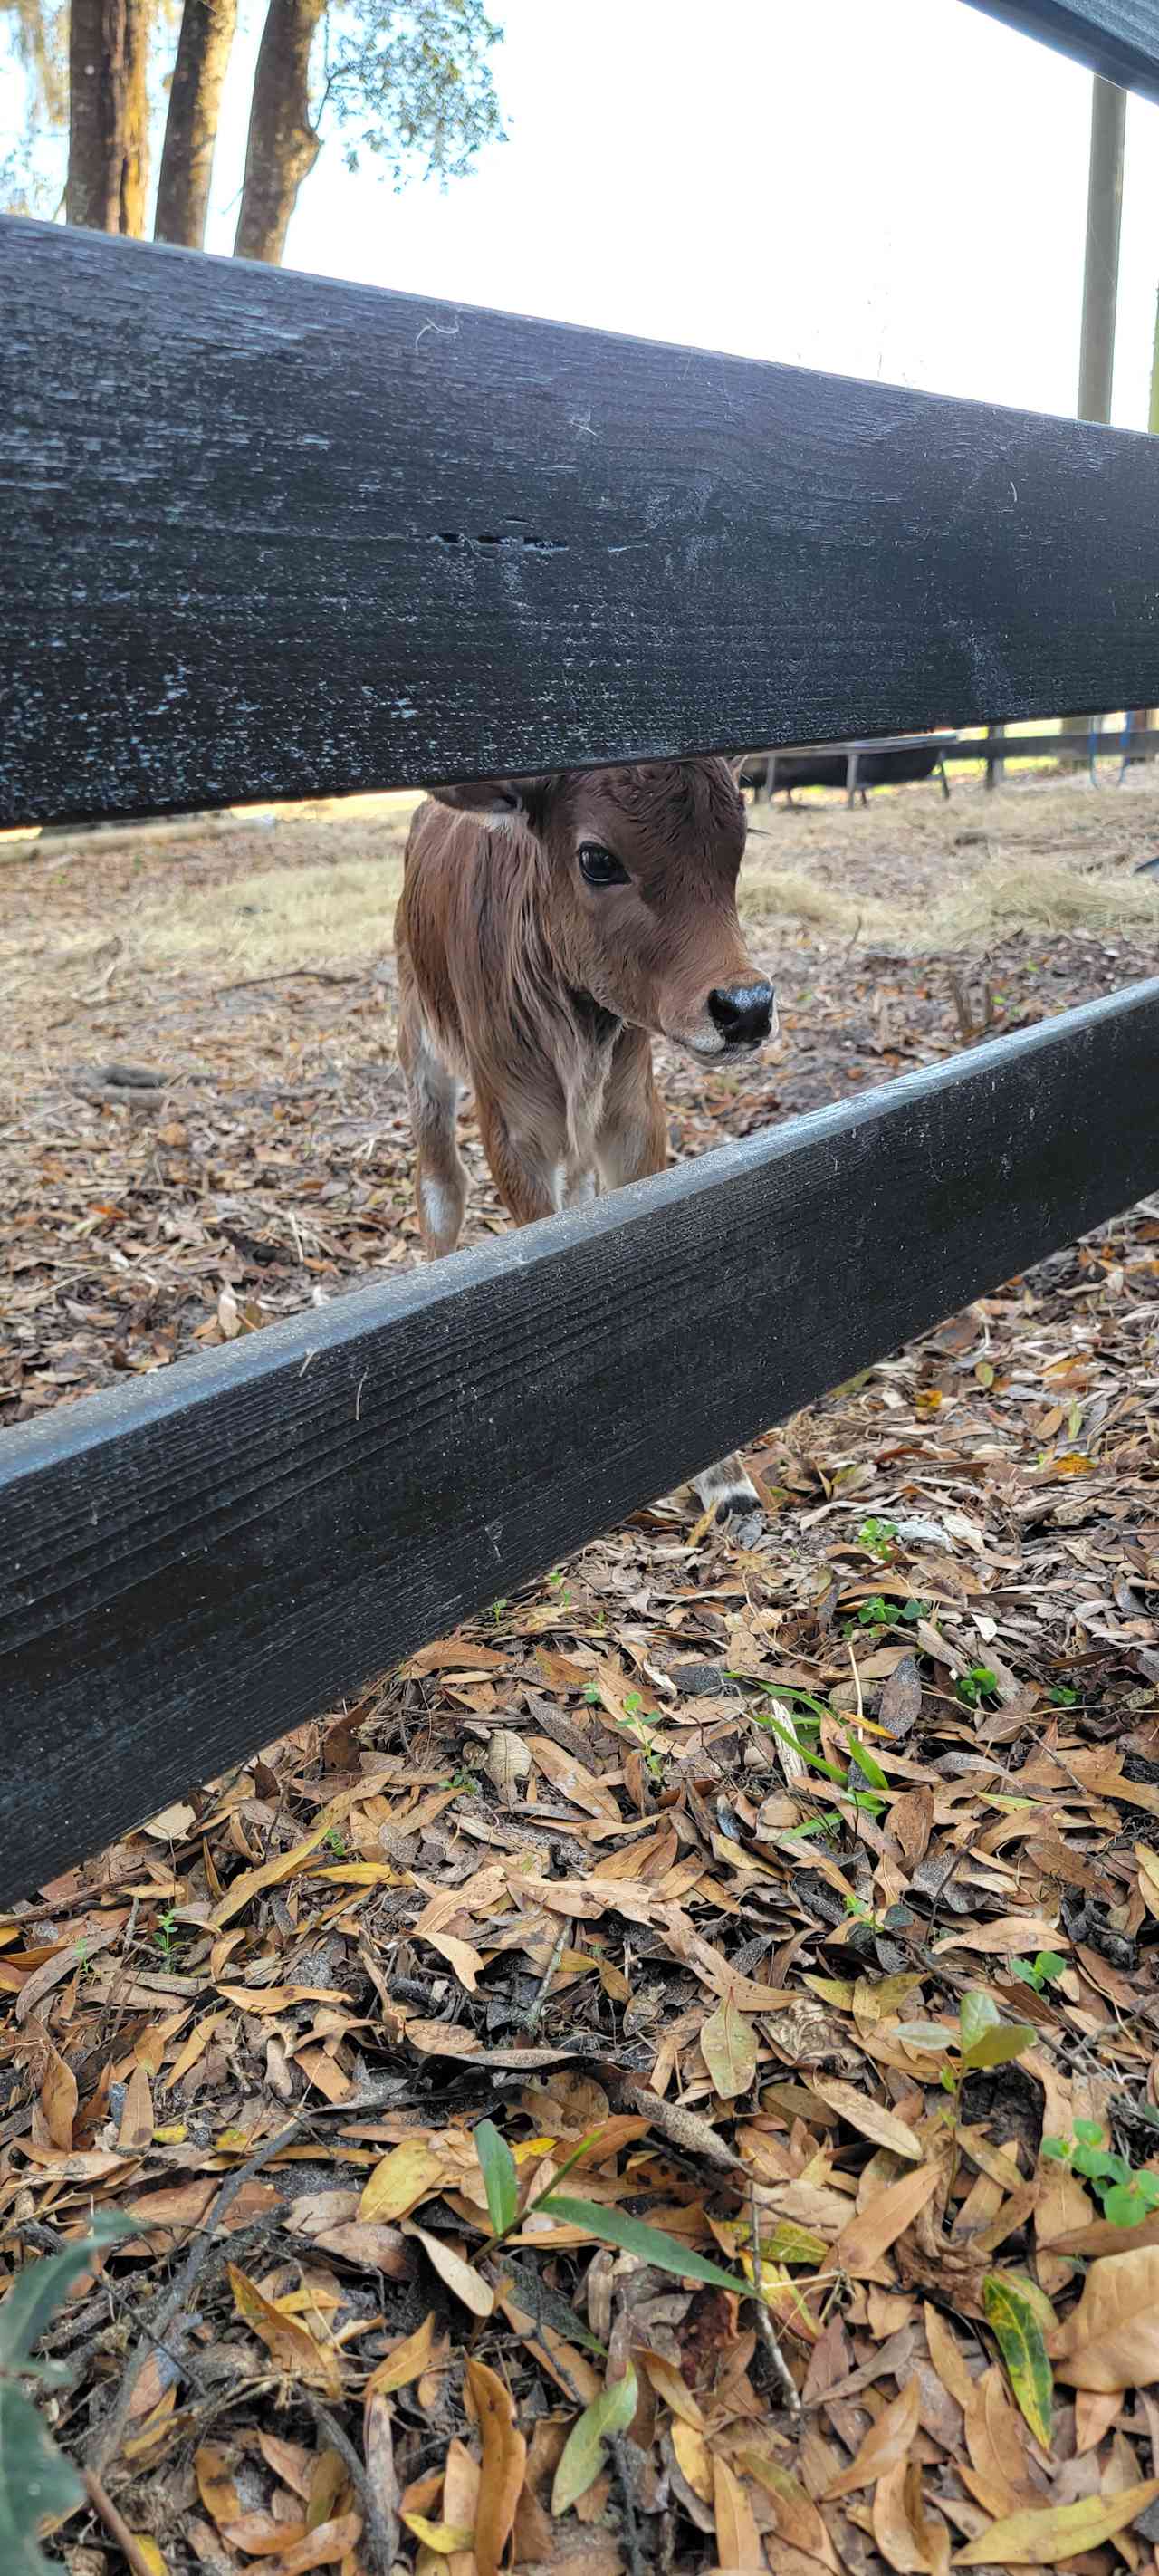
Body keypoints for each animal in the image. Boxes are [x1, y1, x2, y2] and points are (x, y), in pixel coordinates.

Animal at [397, 767, 778, 1524]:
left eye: (739, 838)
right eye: (597, 859)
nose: (746, 1007)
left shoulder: (633, 1116)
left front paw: (723, 1476)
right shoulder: (513, 1130)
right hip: (416, 1036)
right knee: (440, 1185)